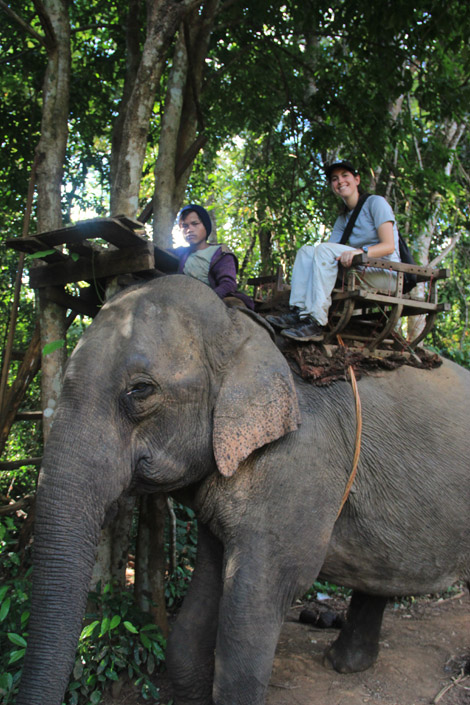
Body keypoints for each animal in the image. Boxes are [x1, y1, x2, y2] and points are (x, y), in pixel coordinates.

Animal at [15, 276, 470, 704]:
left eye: (140, 390)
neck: (242, 330)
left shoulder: (299, 461)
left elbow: (257, 606)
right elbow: (202, 595)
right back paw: (344, 665)